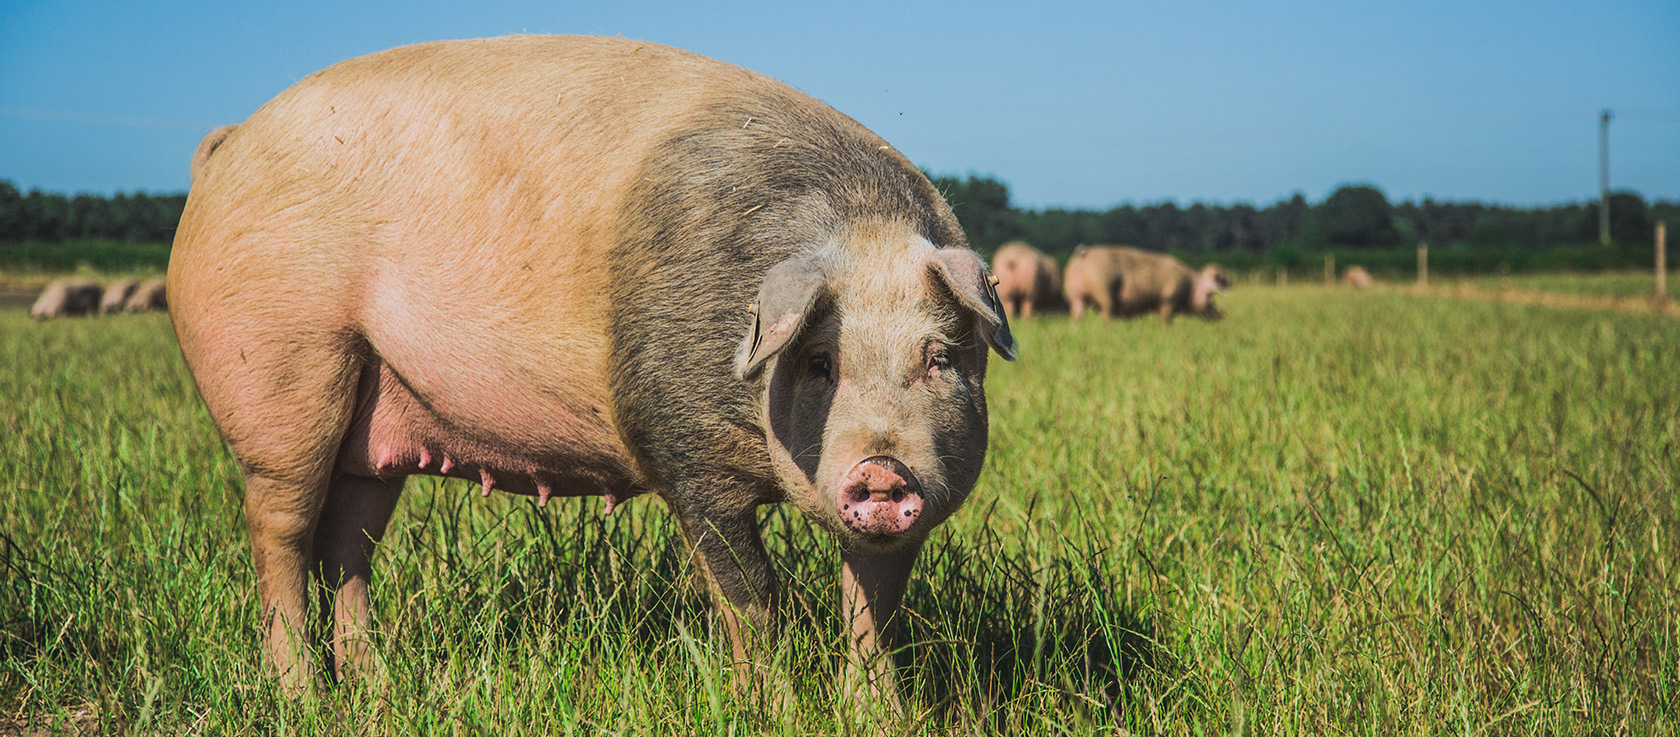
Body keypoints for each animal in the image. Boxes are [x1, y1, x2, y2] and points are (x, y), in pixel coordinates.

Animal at [170, 34, 1014, 705]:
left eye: (939, 357)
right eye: (819, 362)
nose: (881, 469)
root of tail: (227, 145)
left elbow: (873, 606)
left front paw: (881, 715)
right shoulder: (679, 443)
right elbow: (752, 596)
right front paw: (769, 708)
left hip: (373, 419)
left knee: (348, 541)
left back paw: (377, 689)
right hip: (282, 363)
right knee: (280, 528)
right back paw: (302, 696)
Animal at [1068, 246, 1229, 322]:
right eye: (1210, 297)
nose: (1221, 314)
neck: (1191, 286)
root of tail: (1083, 255)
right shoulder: (1168, 299)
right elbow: (1165, 318)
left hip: (1074, 294)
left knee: (1078, 313)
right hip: (1103, 287)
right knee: (1105, 312)